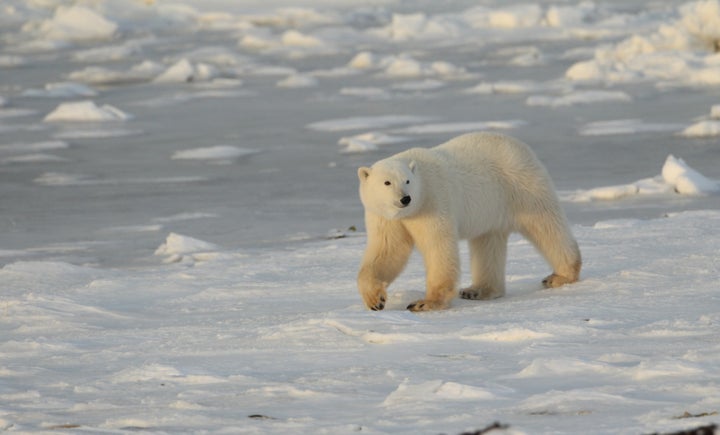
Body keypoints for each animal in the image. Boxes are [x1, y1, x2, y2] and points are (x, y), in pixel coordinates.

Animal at [358, 131, 584, 312]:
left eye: (407, 181)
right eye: (387, 182)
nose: (405, 199)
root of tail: (519, 145)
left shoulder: (434, 201)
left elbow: (438, 248)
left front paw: (425, 303)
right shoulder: (384, 217)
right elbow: (387, 250)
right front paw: (375, 300)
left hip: (523, 187)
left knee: (546, 226)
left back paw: (561, 275)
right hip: (492, 209)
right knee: (488, 244)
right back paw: (478, 290)